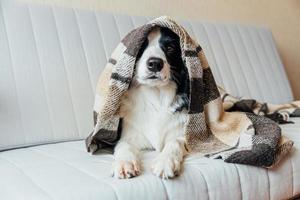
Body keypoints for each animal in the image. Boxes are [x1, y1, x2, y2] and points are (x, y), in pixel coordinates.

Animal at [112, 27, 190, 180]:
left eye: (170, 48)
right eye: (140, 46)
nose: (155, 63)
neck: (156, 96)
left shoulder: (181, 133)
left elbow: (175, 142)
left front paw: (165, 161)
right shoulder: (129, 134)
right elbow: (123, 145)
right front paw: (125, 163)